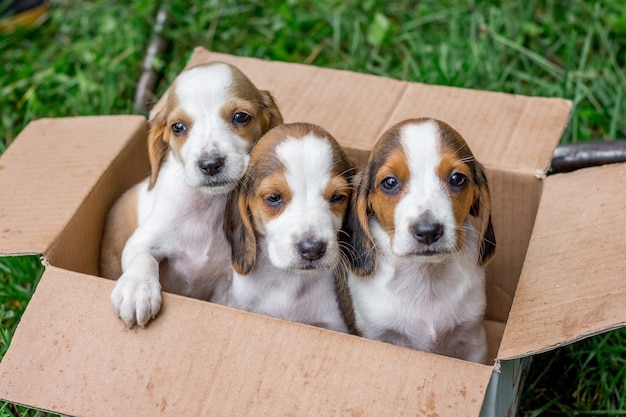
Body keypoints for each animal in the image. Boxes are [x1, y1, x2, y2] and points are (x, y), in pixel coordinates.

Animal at [100, 62, 282, 328]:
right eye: (178, 127)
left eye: (240, 117)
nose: (210, 164)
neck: (207, 206)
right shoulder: (142, 241)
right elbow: (143, 259)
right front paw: (137, 290)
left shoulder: (225, 286)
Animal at [338, 116, 494, 360]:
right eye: (390, 182)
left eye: (457, 178)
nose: (428, 231)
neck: (425, 276)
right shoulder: (375, 334)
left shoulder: (473, 340)